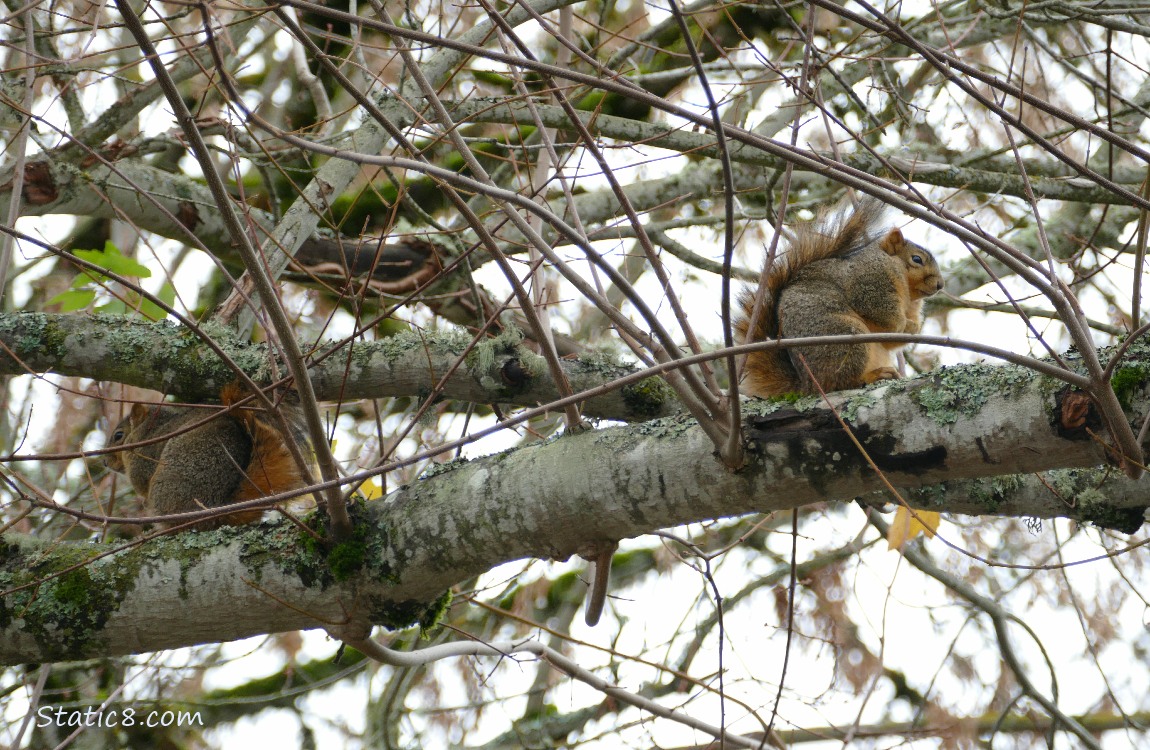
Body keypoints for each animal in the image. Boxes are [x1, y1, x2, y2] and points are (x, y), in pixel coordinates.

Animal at [106, 386, 317, 526]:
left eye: (118, 436)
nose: (105, 463)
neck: (149, 431)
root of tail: (216, 510)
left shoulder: (143, 458)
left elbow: (141, 481)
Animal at [736, 199, 943, 398]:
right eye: (917, 259)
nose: (940, 285)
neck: (909, 297)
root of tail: (808, 385)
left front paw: (913, 327)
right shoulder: (870, 282)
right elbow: (881, 312)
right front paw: (903, 324)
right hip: (845, 338)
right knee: (840, 382)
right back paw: (872, 376)